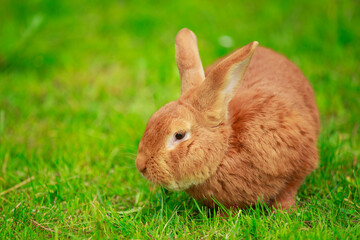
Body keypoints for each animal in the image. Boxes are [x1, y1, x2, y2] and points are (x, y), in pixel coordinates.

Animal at [136, 28, 320, 210]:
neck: (227, 148)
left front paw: (283, 210)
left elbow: (289, 188)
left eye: (179, 135)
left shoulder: (301, 161)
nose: (140, 166)